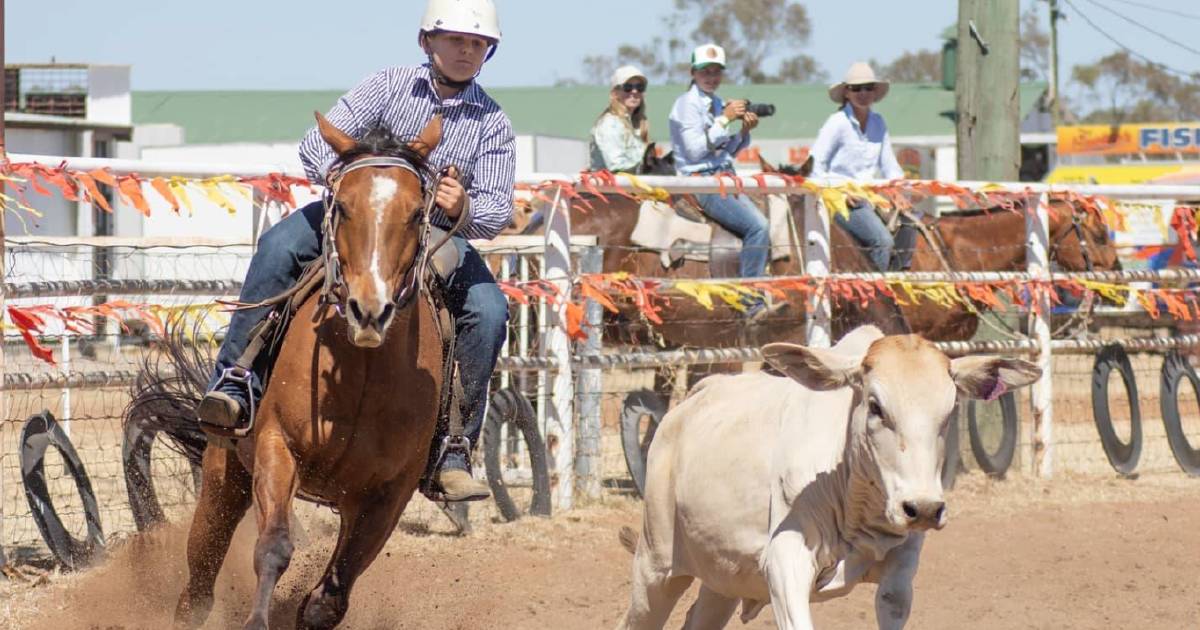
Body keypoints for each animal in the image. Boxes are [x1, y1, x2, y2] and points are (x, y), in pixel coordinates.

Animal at [149, 112, 448, 628]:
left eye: (416, 213)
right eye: (342, 206)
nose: (369, 311)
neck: (360, 376)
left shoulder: (389, 495)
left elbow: (329, 599)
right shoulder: (277, 445)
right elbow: (273, 548)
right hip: (224, 476)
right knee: (199, 583)